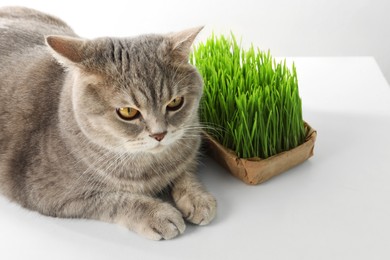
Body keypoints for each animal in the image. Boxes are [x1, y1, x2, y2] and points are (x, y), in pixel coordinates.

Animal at [0, 6, 216, 241]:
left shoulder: (190, 146)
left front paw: (198, 198)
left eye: (175, 102)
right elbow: (113, 200)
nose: (159, 134)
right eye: (128, 112)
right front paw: (157, 214)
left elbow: (186, 171)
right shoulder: (50, 192)